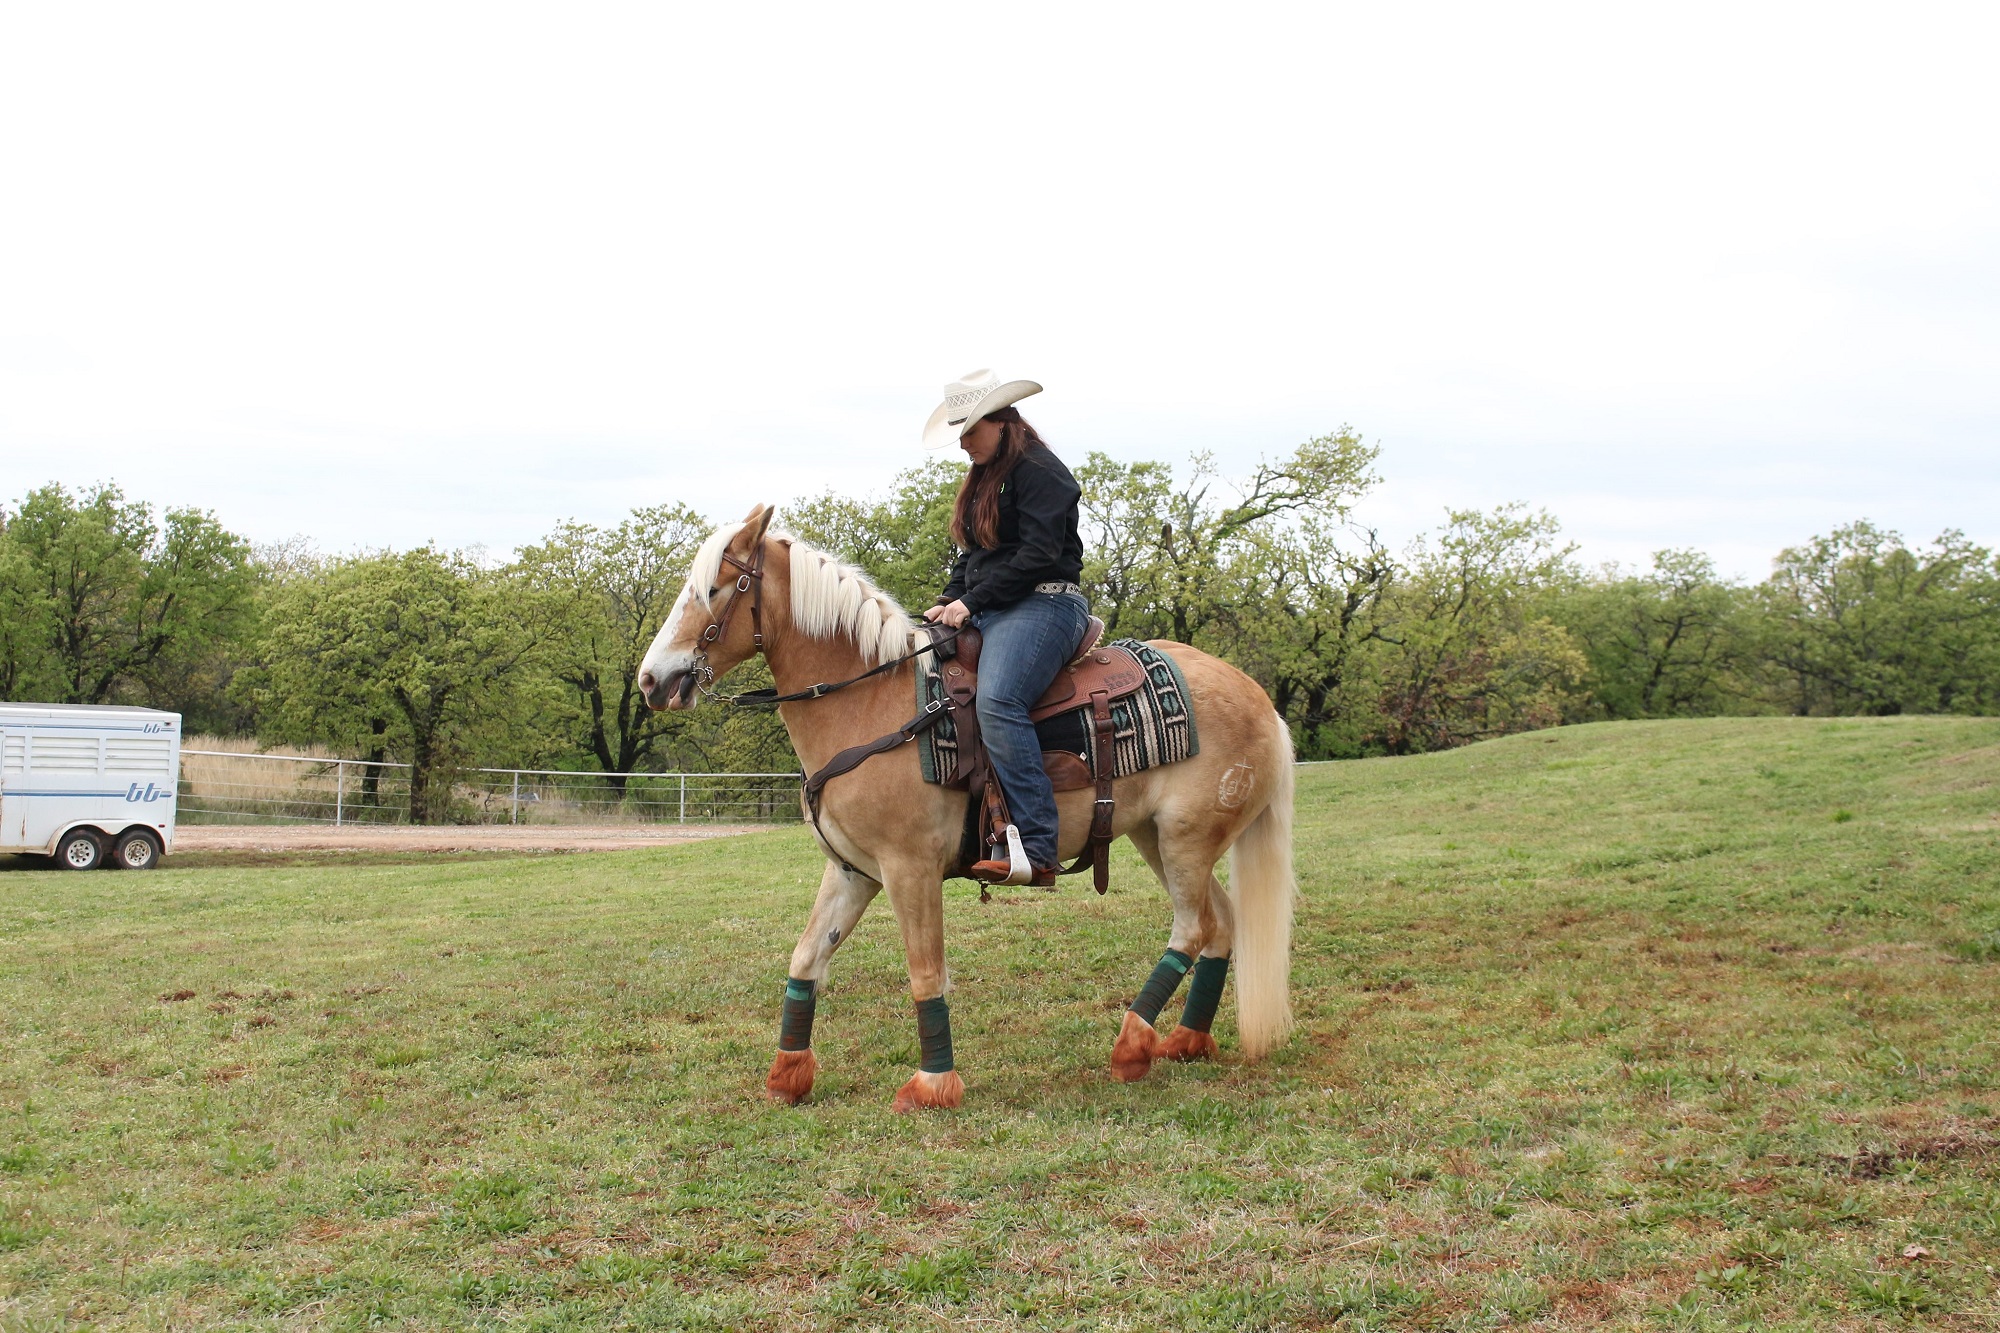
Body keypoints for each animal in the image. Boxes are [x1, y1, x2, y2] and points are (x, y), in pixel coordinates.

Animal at [636, 504, 1296, 1104]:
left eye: (713, 589)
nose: (651, 680)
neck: (871, 702)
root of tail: (1259, 698)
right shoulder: (851, 871)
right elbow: (806, 960)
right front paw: (787, 1076)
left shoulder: (910, 869)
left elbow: (926, 972)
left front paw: (933, 1083)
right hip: (1157, 839)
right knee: (1221, 924)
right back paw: (1186, 1040)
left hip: (1186, 840)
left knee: (1194, 926)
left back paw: (1132, 1046)